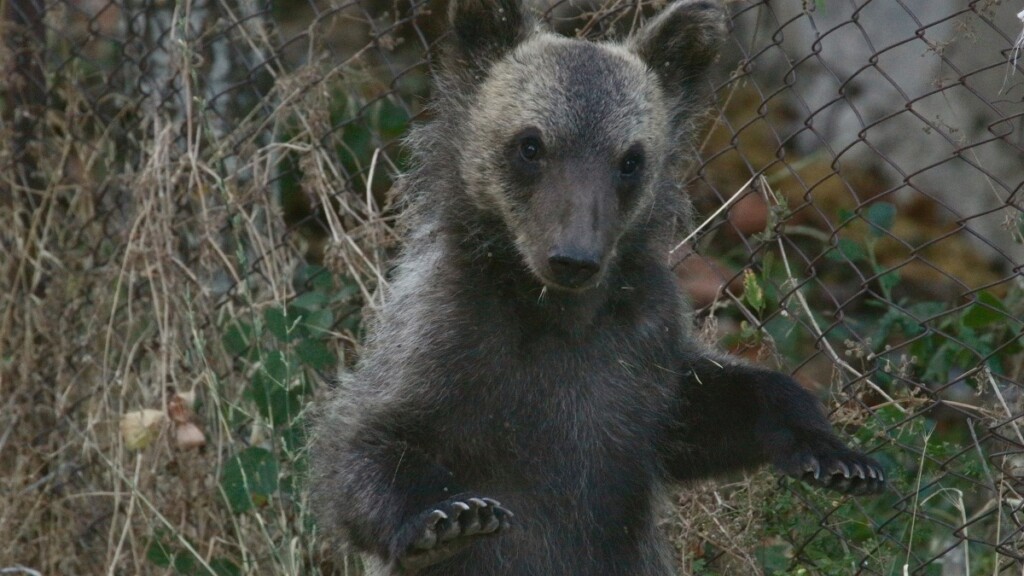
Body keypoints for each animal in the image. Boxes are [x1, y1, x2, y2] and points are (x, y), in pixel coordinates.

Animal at [307, 2, 884, 569]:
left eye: (631, 159)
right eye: (530, 144)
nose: (573, 259)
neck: (557, 315)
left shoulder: (641, 354)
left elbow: (711, 406)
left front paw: (837, 455)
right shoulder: (444, 336)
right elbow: (364, 443)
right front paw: (448, 516)